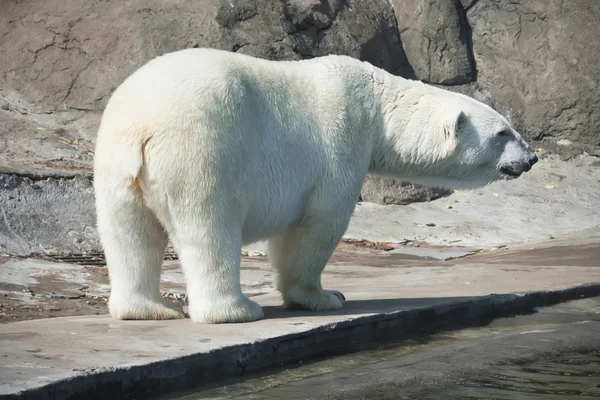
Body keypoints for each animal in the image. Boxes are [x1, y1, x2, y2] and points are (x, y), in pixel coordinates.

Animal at [95, 47, 540, 322]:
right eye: (503, 132)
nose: (532, 157)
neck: (378, 107)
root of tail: (143, 126)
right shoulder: (341, 140)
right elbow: (318, 225)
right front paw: (325, 297)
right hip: (202, 149)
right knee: (209, 227)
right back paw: (237, 309)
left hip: (116, 164)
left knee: (128, 234)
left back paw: (147, 308)